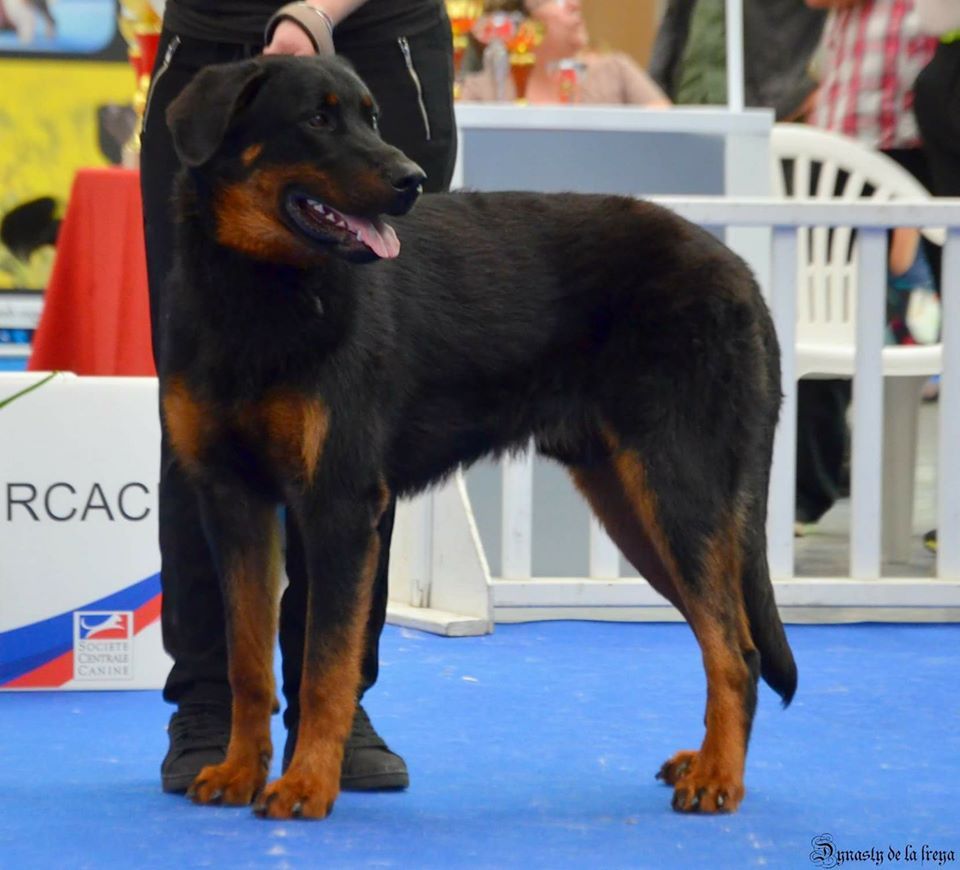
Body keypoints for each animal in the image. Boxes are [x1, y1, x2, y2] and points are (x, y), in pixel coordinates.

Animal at [163, 56, 796, 824]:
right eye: (317, 118)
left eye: (371, 116)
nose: (409, 179)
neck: (262, 292)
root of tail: (742, 275)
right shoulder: (235, 502)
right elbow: (249, 663)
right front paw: (238, 771)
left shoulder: (339, 504)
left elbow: (323, 667)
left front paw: (309, 784)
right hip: (635, 508)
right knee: (727, 641)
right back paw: (706, 763)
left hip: (678, 491)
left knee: (734, 650)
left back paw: (719, 779)